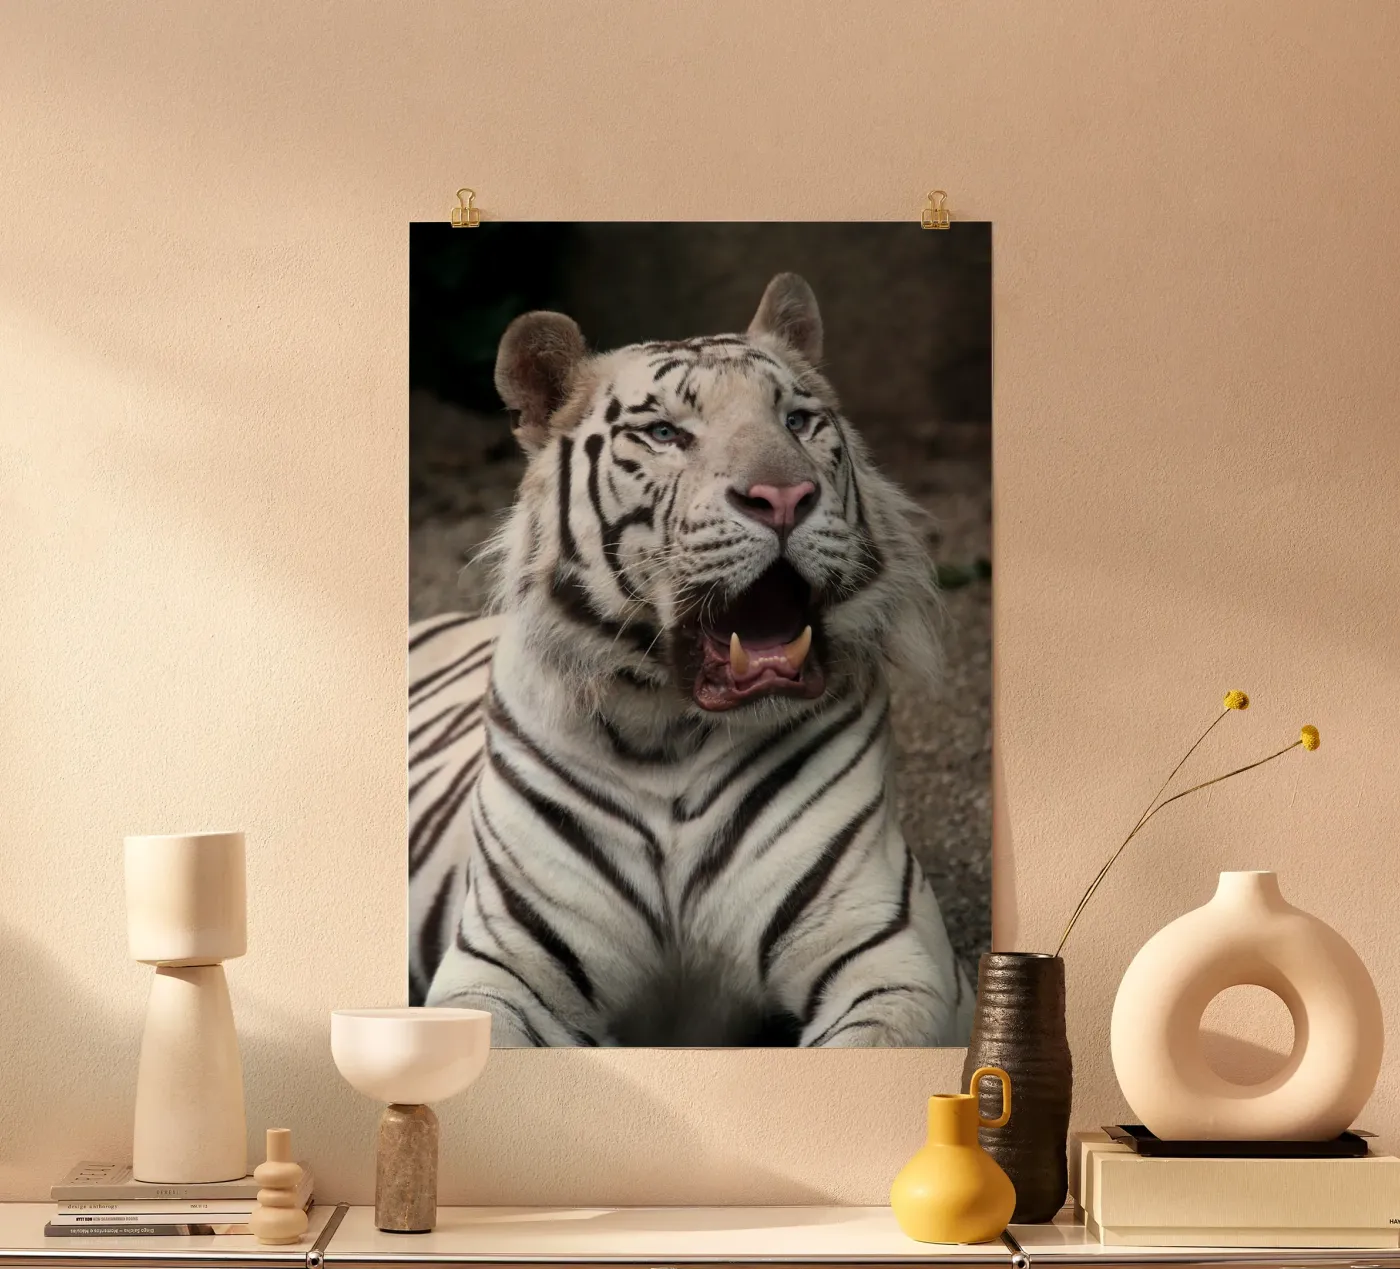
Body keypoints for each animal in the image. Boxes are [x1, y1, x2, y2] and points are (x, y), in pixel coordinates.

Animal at [408, 272, 975, 1047]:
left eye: (799, 420)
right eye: (666, 434)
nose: (784, 496)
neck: (667, 732)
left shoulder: (889, 950)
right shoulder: (505, 964)